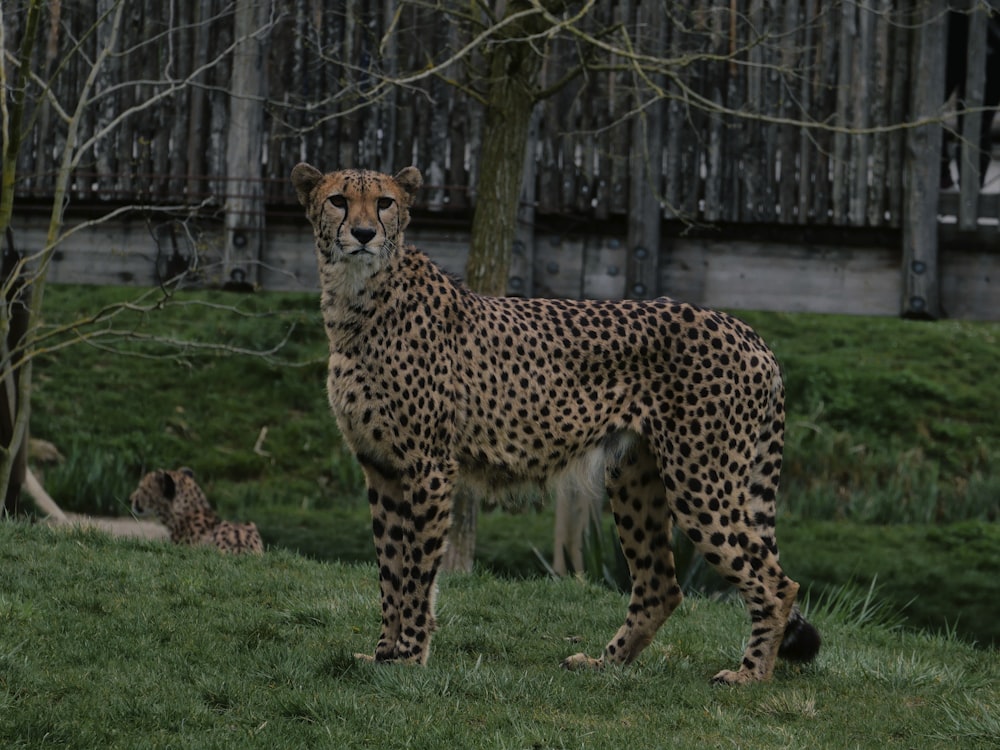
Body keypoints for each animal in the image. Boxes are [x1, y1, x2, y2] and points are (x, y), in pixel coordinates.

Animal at [292, 164, 820, 688]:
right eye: (339, 200)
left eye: (384, 203)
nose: (364, 234)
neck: (356, 298)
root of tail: (745, 329)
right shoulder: (379, 466)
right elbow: (389, 569)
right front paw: (382, 655)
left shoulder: (428, 466)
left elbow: (417, 571)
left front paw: (408, 658)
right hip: (636, 477)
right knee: (661, 585)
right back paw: (605, 664)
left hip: (700, 482)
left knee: (776, 582)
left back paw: (750, 676)